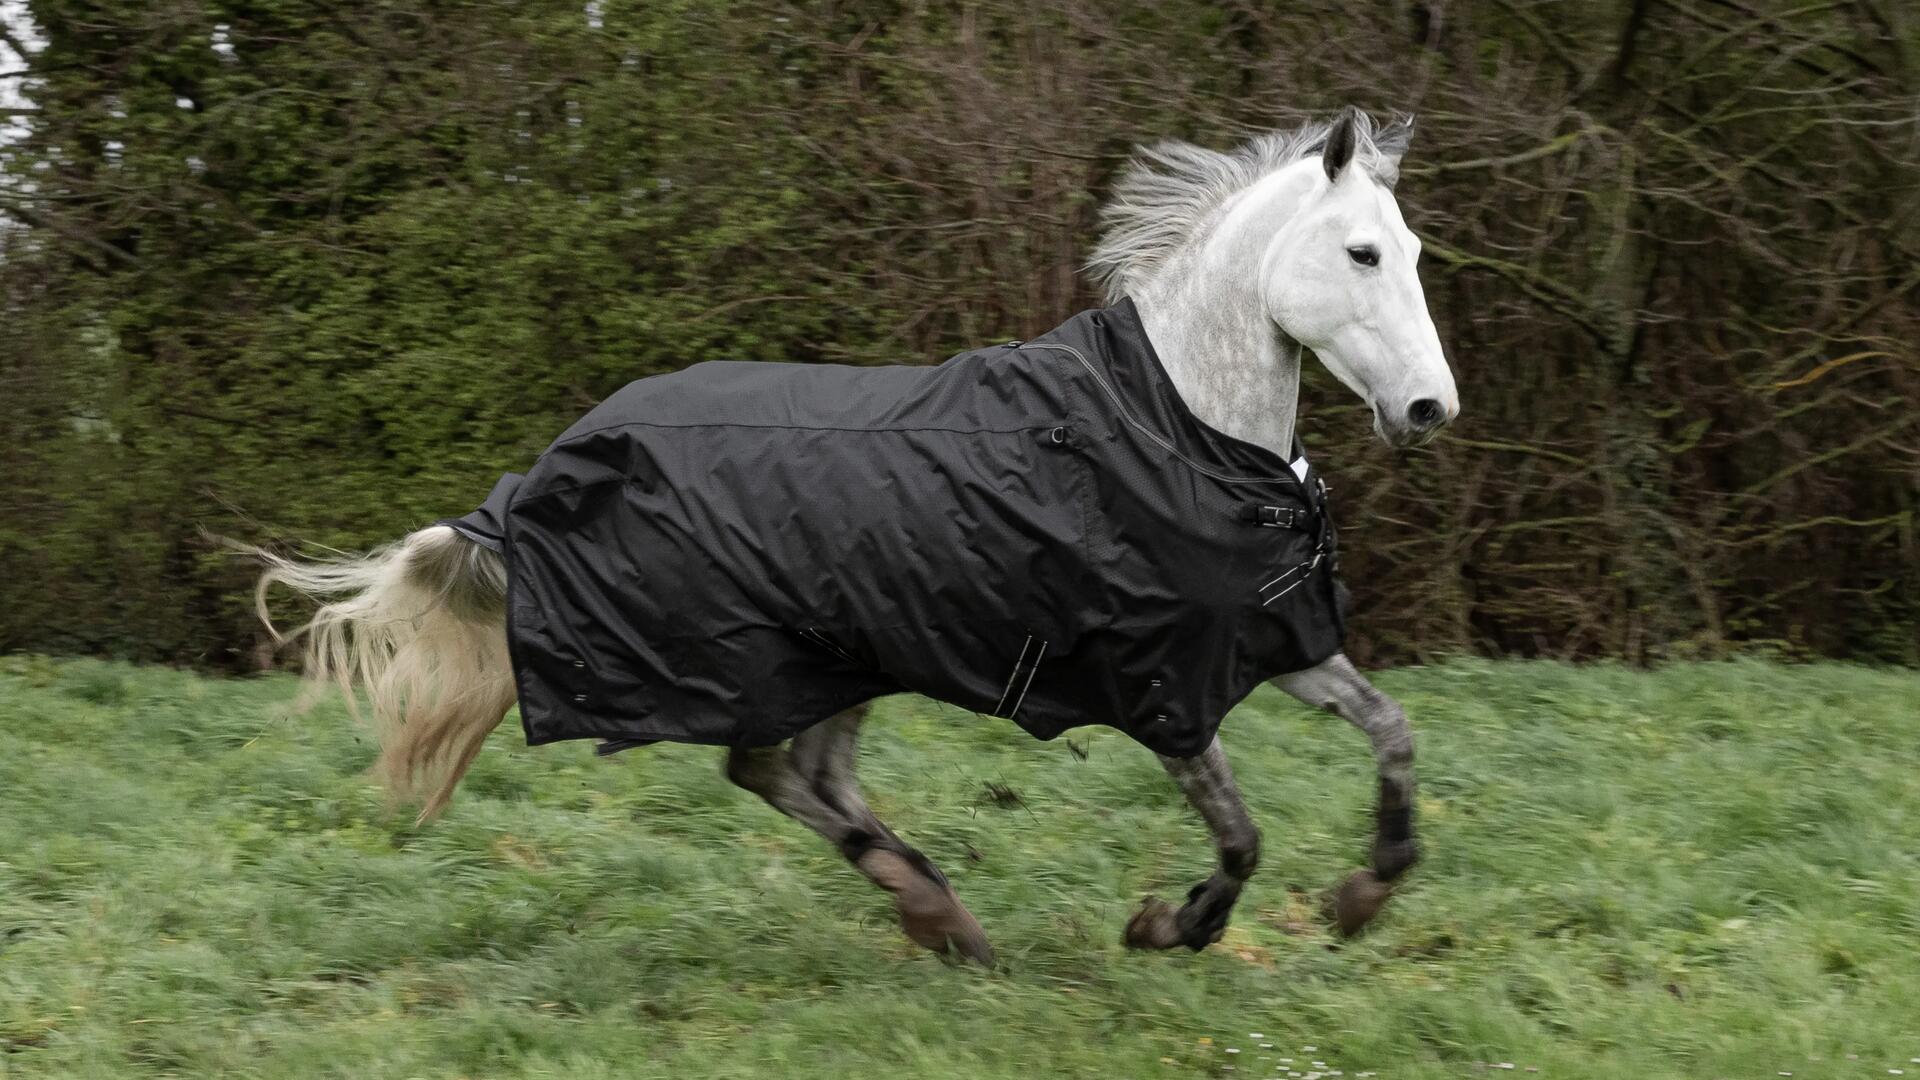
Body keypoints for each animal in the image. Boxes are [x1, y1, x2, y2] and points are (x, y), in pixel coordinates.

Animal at [255, 109, 1451, 960]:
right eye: (1360, 254)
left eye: (1411, 248)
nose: (1431, 410)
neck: (1177, 426)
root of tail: (541, 474)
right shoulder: (1162, 686)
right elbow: (1241, 836)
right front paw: (1170, 927)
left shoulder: (1276, 643)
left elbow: (1394, 734)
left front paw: (1359, 898)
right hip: (781, 658)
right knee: (766, 771)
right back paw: (934, 909)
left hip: (845, 658)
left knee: (800, 777)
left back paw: (934, 910)